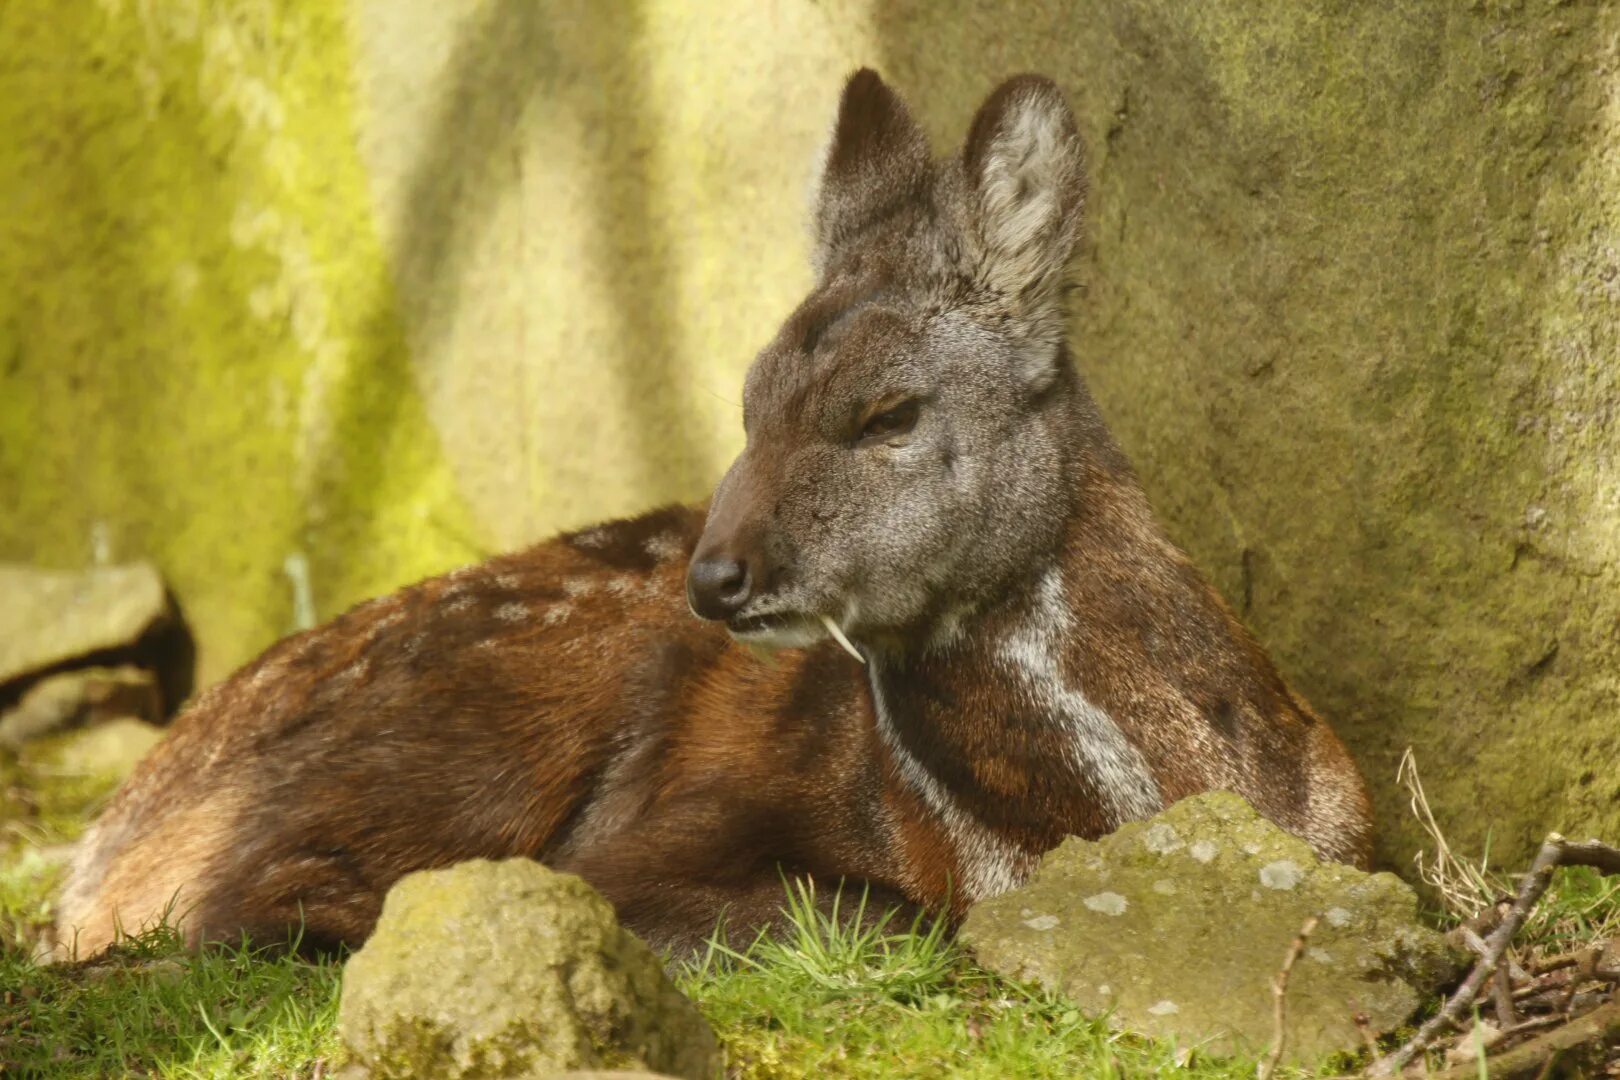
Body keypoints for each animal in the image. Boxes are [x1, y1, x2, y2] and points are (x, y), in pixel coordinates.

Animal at [53, 71, 1367, 958]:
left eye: (888, 410)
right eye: (745, 405)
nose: (717, 575)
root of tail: (90, 851)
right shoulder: (665, 837)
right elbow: (885, 918)